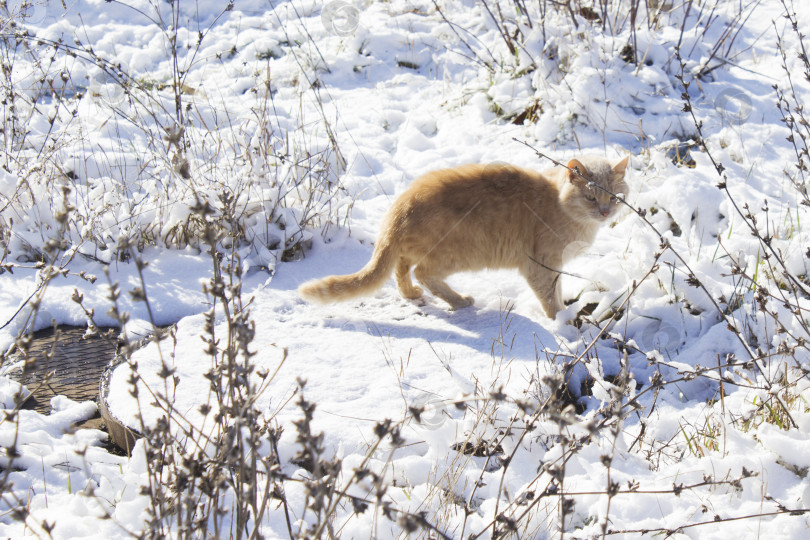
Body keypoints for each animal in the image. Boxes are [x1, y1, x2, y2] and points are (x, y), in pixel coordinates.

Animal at [298, 155, 632, 316]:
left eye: (615, 198)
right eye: (591, 198)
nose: (605, 212)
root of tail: (400, 207)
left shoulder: (554, 267)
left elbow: (558, 291)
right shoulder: (541, 265)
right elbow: (550, 298)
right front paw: (562, 323)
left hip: (416, 251)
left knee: (401, 269)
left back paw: (411, 295)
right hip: (457, 254)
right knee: (423, 272)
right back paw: (459, 301)